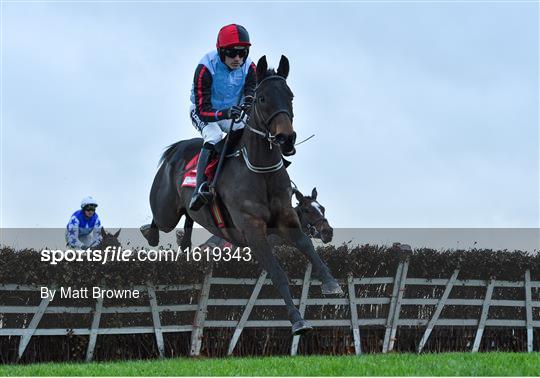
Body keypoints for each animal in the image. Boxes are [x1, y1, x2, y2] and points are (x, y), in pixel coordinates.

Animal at [140, 55, 342, 334]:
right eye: (262, 98)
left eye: (290, 96)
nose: (286, 138)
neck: (259, 169)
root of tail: (176, 149)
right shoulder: (252, 229)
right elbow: (277, 273)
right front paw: (298, 320)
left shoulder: (286, 220)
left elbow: (307, 246)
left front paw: (331, 282)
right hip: (166, 210)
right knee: (159, 220)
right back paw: (149, 234)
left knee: (189, 218)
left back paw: (185, 242)